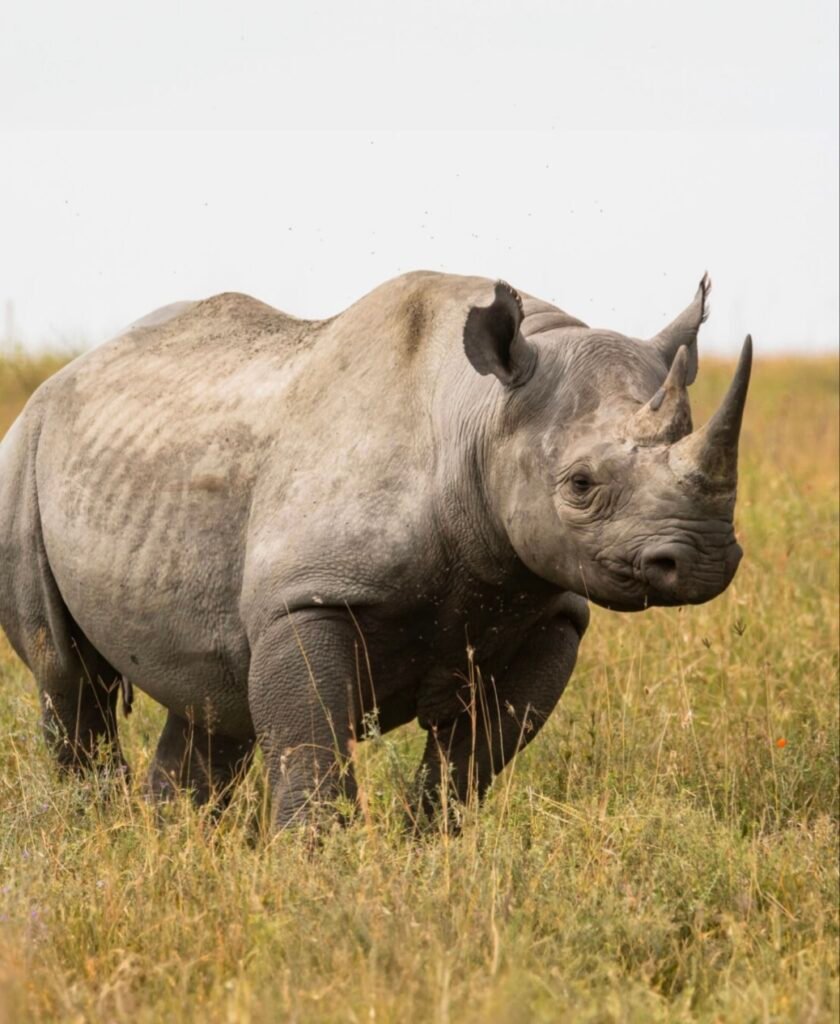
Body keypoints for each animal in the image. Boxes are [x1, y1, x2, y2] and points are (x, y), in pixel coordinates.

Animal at [0, 271, 751, 828]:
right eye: (581, 485)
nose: (703, 558)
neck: (479, 414)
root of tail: (68, 374)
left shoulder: (546, 611)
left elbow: (470, 763)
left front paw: (432, 855)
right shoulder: (306, 597)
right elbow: (312, 748)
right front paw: (314, 876)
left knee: (210, 700)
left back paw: (169, 846)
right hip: (23, 455)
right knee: (69, 679)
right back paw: (100, 835)